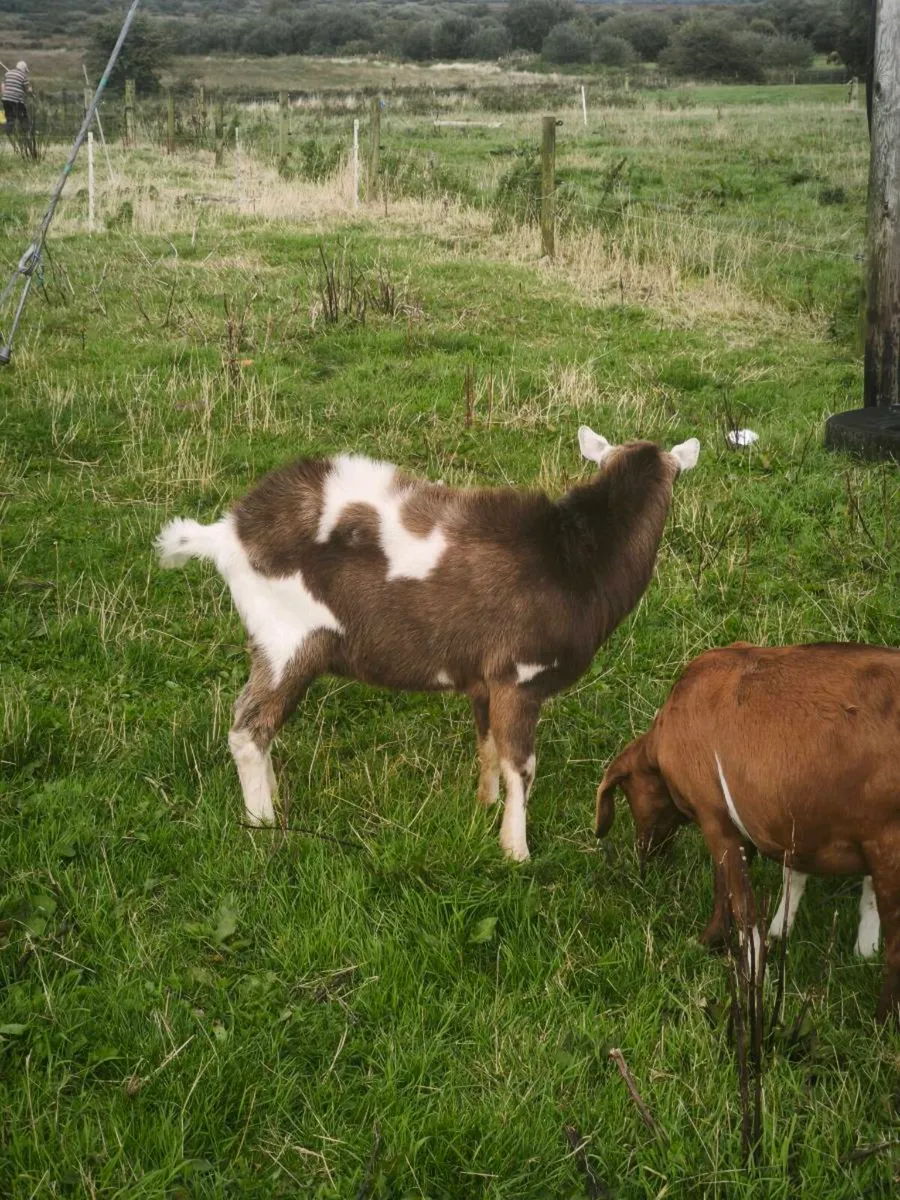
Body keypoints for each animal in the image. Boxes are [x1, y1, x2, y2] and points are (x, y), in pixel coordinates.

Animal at [156, 427, 699, 861]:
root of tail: (227, 535)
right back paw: (263, 823)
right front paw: (516, 852)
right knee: (249, 728)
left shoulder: (485, 679)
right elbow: (521, 765)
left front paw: (484, 805)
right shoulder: (519, 676)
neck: (574, 558)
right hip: (288, 640)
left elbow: (487, 745)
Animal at [595, 642, 900, 1020]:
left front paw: (746, 973)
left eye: (628, 793)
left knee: (897, 949)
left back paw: (881, 1020)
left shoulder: (716, 819)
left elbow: (738, 902)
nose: (646, 853)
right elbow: (776, 879)